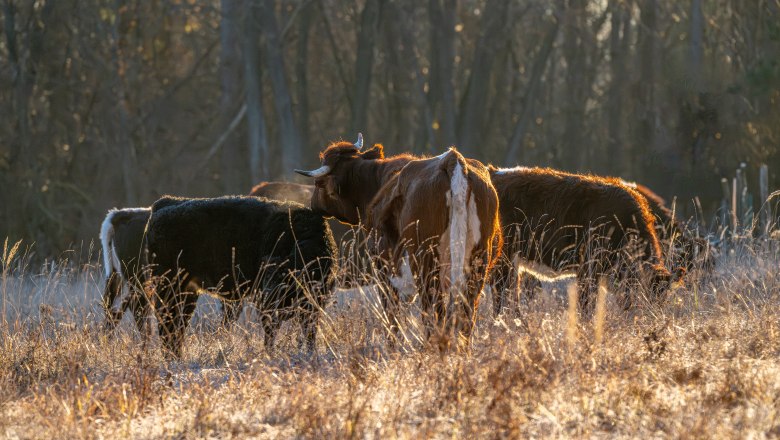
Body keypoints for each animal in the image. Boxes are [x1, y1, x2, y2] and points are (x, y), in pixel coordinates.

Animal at [145, 196, 336, 358]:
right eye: (268, 273)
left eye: (283, 276)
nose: (267, 294)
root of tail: (164, 204)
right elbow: (271, 333)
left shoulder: (313, 305)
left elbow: (309, 332)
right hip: (170, 289)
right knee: (167, 325)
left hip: (187, 294)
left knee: (176, 327)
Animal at [296, 136, 502, 348]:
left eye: (319, 184)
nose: (313, 205)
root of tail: (452, 159)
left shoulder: (384, 271)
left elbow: (392, 316)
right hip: (478, 264)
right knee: (466, 316)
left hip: (427, 266)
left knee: (435, 315)